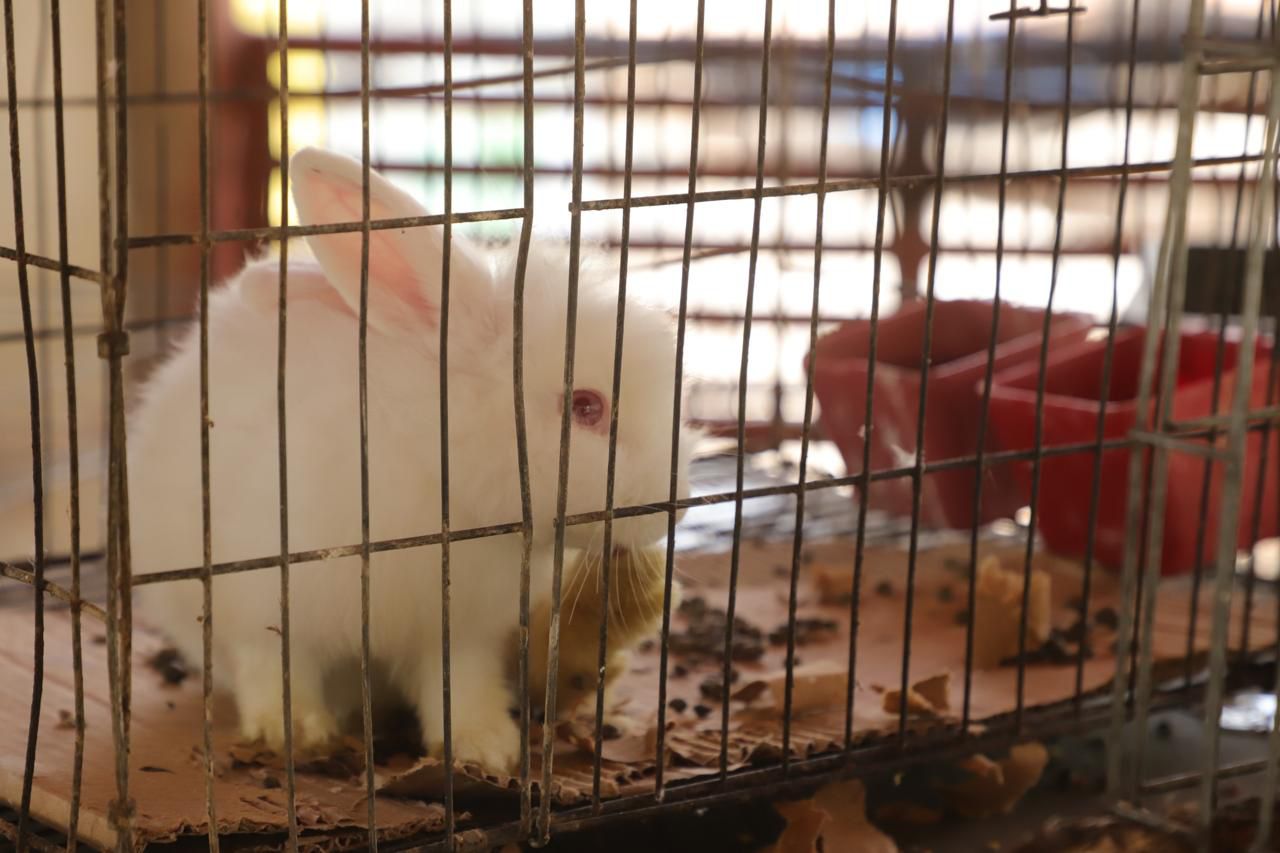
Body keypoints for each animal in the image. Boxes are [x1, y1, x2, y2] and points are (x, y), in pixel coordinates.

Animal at [129, 146, 696, 774]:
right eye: (586, 405)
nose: (674, 511)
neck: (432, 447)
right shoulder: (262, 601)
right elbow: (276, 669)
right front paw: (297, 734)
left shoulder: (460, 630)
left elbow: (461, 686)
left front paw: (487, 749)